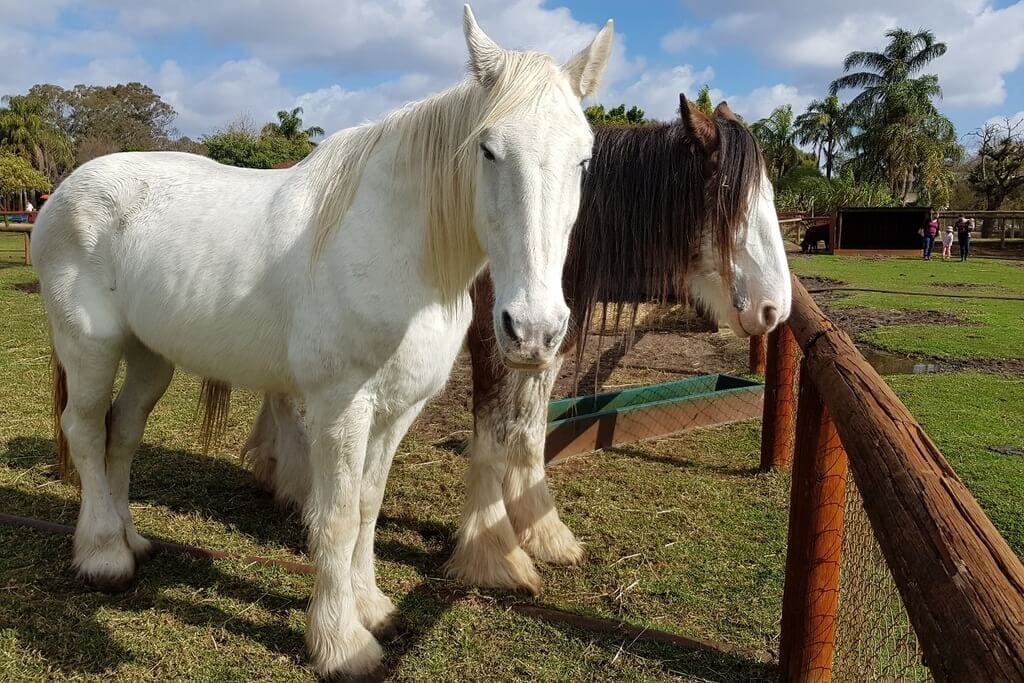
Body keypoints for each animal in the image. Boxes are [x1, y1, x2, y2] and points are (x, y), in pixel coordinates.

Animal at [34, 7, 614, 679]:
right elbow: (334, 517)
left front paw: (371, 607)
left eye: (584, 159)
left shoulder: (397, 410)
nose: (534, 331)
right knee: (83, 429)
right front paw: (341, 643)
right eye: (489, 148)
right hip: (89, 348)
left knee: (121, 433)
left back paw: (130, 540)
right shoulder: (342, 407)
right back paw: (104, 556)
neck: (392, 246)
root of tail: (67, 189)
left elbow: (366, 504)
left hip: (151, 357)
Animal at [232, 93, 790, 593]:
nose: (775, 309)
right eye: (728, 194)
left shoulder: (543, 346)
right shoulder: (494, 341)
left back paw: (277, 471)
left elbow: (529, 430)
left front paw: (544, 533)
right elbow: (492, 435)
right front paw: (490, 552)